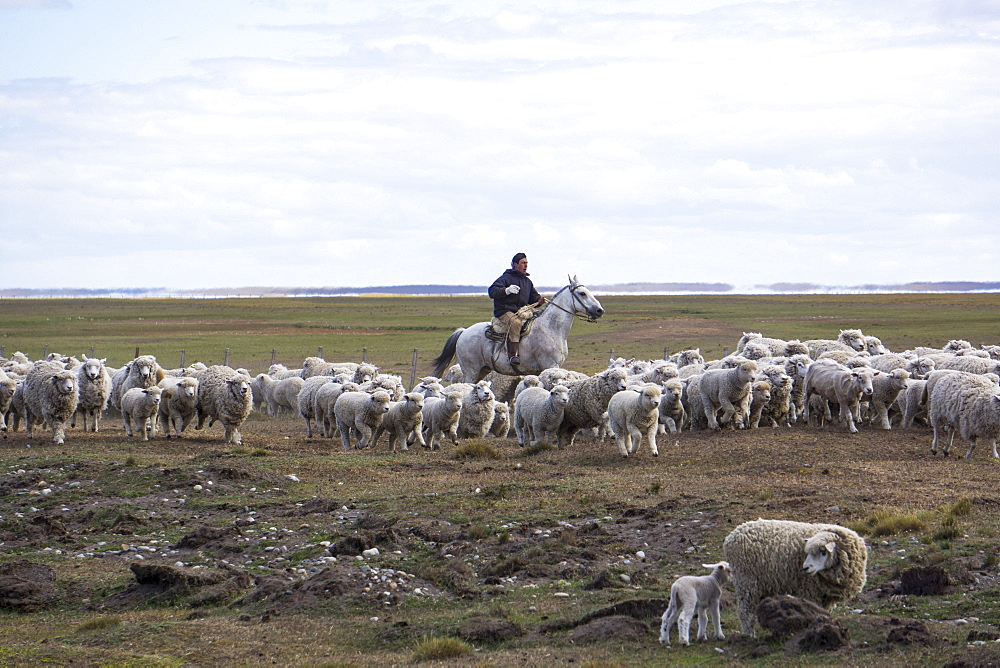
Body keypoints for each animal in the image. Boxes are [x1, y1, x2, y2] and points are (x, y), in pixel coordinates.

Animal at [430, 276, 600, 380]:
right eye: (582, 293)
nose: (599, 310)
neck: (551, 328)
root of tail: (464, 332)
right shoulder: (550, 366)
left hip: (482, 371)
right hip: (471, 371)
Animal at [724, 516, 872, 636]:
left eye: (823, 552)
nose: (805, 568)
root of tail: (731, 536)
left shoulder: (826, 596)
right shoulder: (810, 591)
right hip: (746, 581)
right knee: (745, 612)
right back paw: (750, 635)